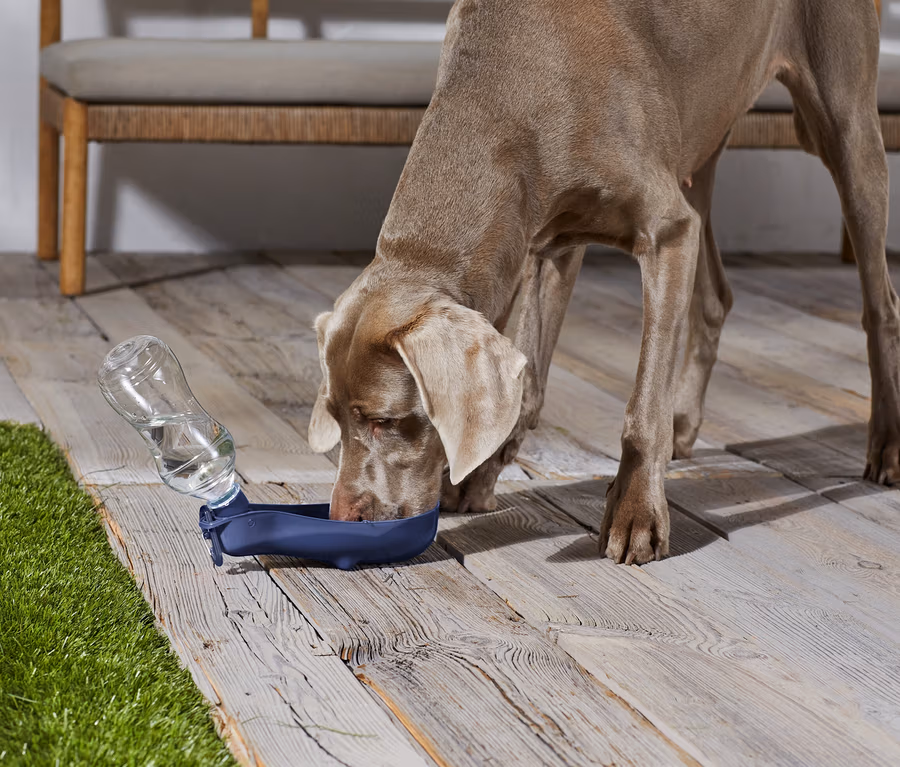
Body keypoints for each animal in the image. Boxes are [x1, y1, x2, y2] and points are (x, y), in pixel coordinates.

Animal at [310, 0, 899, 564]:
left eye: (385, 421)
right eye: (336, 417)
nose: (341, 519)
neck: (511, 89)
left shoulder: (668, 233)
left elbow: (643, 403)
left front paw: (636, 513)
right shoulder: (545, 244)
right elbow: (530, 381)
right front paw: (480, 477)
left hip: (842, 126)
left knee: (879, 302)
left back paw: (887, 446)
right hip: (702, 140)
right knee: (716, 296)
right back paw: (685, 423)